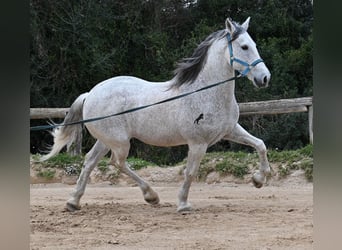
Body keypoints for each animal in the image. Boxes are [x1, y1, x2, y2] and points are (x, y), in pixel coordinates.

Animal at [42, 17, 270, 213]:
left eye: (254, 44)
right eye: (244, 47)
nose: (265, 78)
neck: (205, 92)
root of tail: (90, 94)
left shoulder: (230, 130)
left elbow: (260, 144)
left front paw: (259, 179)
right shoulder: (197, 143)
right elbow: (190, 172)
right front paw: (183, 204)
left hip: (107, 140)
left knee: (90, 161)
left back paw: (73, 202)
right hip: (120, 142)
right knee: (117, 162)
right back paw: (151, 195)